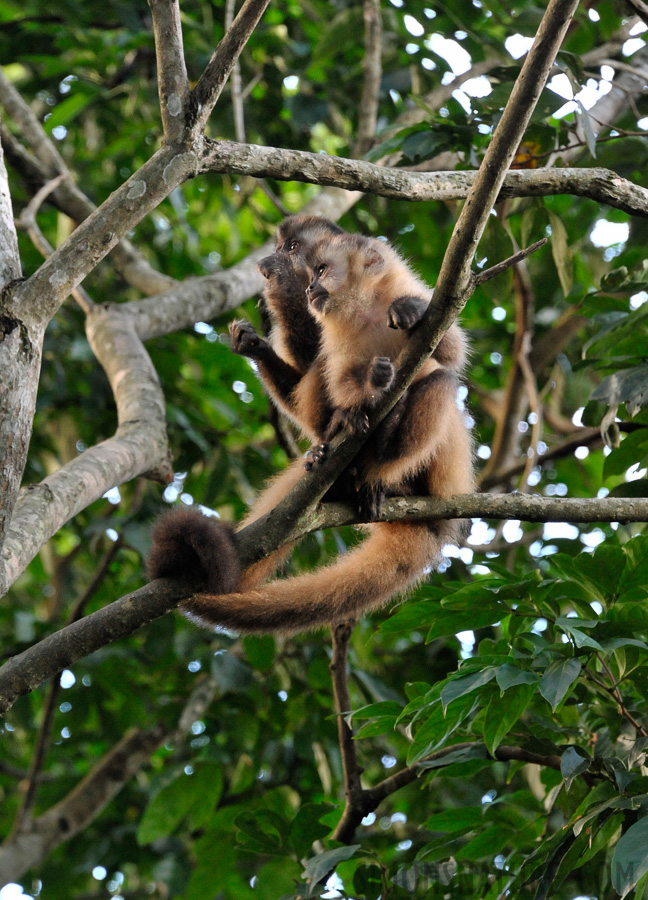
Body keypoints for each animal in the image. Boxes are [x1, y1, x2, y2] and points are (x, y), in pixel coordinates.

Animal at [146, 214, 470, 632]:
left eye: (300, 253)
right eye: (307, 265)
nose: (308, 285)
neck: (365, 309)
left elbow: (450, 351)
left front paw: (410, 311)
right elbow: (334, 377)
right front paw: (256, 344)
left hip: (441, 478)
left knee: (442, 383)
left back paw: (384, 467)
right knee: (321, 372)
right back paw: (339, 456)